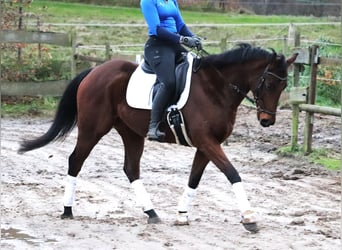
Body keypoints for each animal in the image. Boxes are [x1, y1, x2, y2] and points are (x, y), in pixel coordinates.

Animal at [18, 43, 296, 232]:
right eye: (269, 84)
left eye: (284, 86)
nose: (267, 121)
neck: (216, 88)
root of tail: (94, 71)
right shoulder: (207, 142)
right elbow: (232, 173)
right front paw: (249, 217)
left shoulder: (206, 145)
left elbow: (194, 179)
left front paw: (182, 215)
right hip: (92, 129)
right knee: (76, 160)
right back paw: (67, 210)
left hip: (131, 133)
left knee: (131, 169)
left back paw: (151, 213)